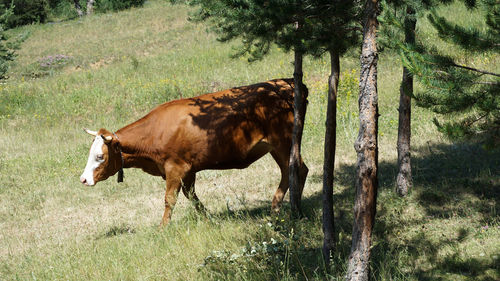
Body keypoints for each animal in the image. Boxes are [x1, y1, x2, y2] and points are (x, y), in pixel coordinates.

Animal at [81, 77, 308, 224]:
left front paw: (163, 227)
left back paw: (286, 209)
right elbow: (191, 196)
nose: (83, 179)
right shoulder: (188, 170)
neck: (155, 132)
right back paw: (286, 206)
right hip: (277, 146)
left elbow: (170, 199)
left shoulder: (175, 168)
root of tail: (286, 82)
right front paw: (208, 218)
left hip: (284, 142)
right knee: (293, 170)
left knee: (296, 169)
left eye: (100, 156)